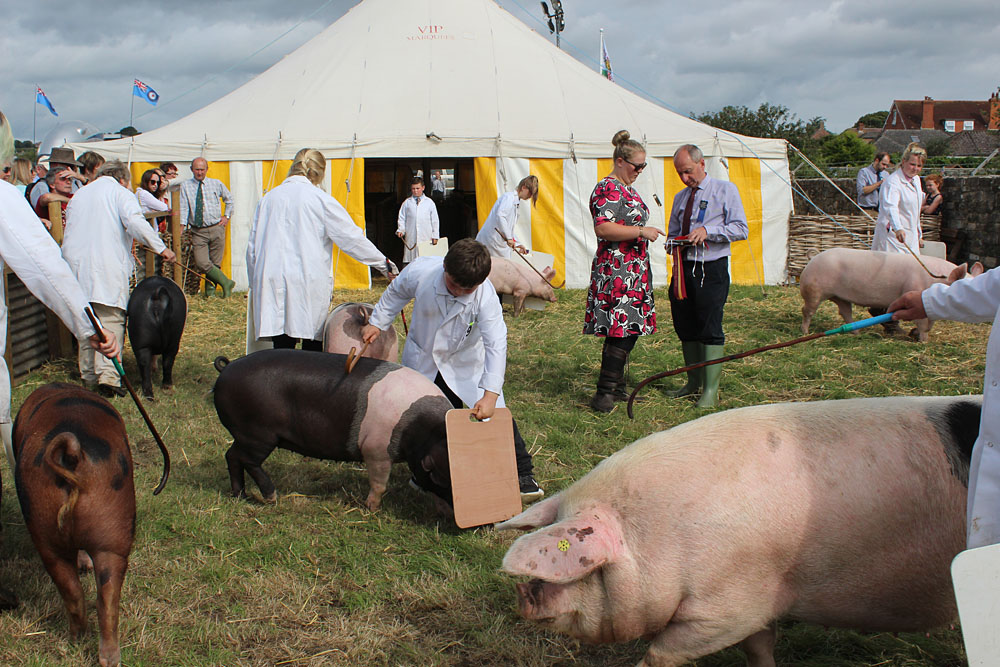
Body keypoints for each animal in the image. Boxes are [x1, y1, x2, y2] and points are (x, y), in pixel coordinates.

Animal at [12, 380, 135, 667]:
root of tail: (73, 453)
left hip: (50, 528)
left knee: (81, 592)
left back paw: (80, 641)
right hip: (111, 530)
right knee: (98, 597)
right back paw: (98, 651)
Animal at [217, 350, 456, 512]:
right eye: (443, 477)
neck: (421, 428)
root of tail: (227, 368)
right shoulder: (376, 449)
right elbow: (379, 483)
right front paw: (372, 509)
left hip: (246, 435)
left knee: (231, 456)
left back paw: (240, 496)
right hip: (257, 434)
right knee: (246, 460)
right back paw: (271, 497)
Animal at [800, 250, 980, 344]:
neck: (935, 280)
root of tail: (813, 257)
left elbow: (929, 325)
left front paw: (915, 335)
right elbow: (923, 325)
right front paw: (923, 342)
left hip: (841, 297)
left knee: (845, 313)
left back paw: (857, 333)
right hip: (813, 291)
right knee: (806, 311)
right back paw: (804, 332)